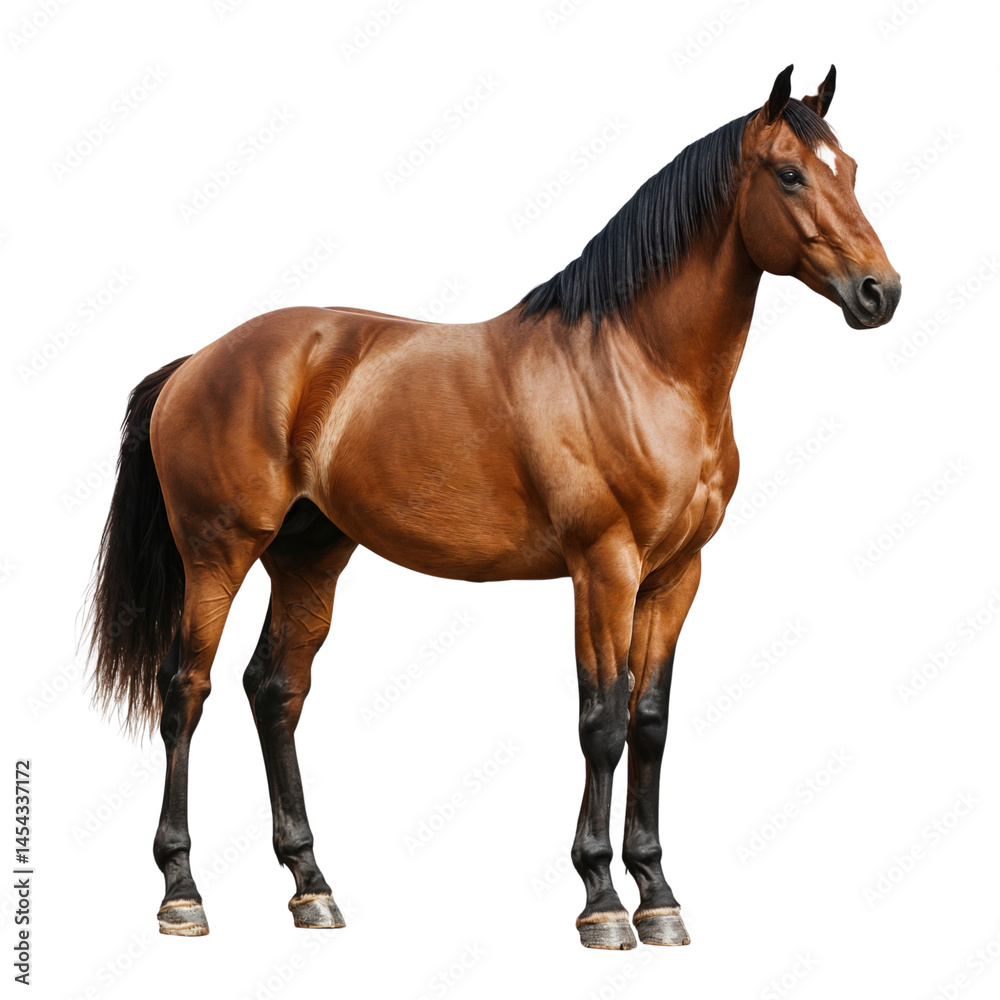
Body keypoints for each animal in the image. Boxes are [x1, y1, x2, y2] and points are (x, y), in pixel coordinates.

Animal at [86, 64, 900, 950]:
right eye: (789, 173)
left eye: (851, 170)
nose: (880, 292)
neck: (640, 365)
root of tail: (196, 361)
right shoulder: (603, 567)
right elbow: (601, 721)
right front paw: (602, 902)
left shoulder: (676, 574)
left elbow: (649, 721)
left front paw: (658, 896)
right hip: (219, 552)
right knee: (185, 691)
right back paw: (182, 892)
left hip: (310, 556)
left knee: (274, 690)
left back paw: (312, 888)